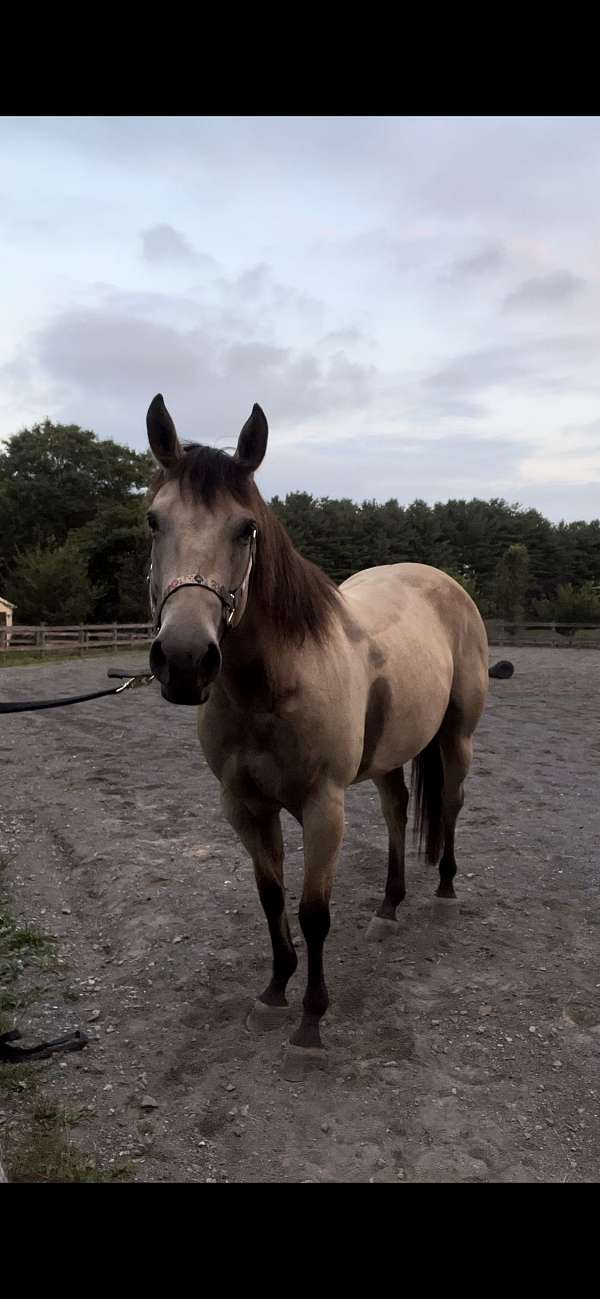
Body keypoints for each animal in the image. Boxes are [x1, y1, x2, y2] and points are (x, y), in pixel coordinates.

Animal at [146, 392, 490, 1075]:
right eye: (152, 521)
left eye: (245, 529)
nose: (185, 660)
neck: (273, 684)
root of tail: (442, 580)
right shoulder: (244, 806)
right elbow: (271, 898)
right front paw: (275, 993)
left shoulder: (323, 805)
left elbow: (313, 913)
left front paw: (311, 1021)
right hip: (389, 757)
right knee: (397, 811)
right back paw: (389, 908)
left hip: (457, 738)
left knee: (451, 804)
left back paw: (443, 893)